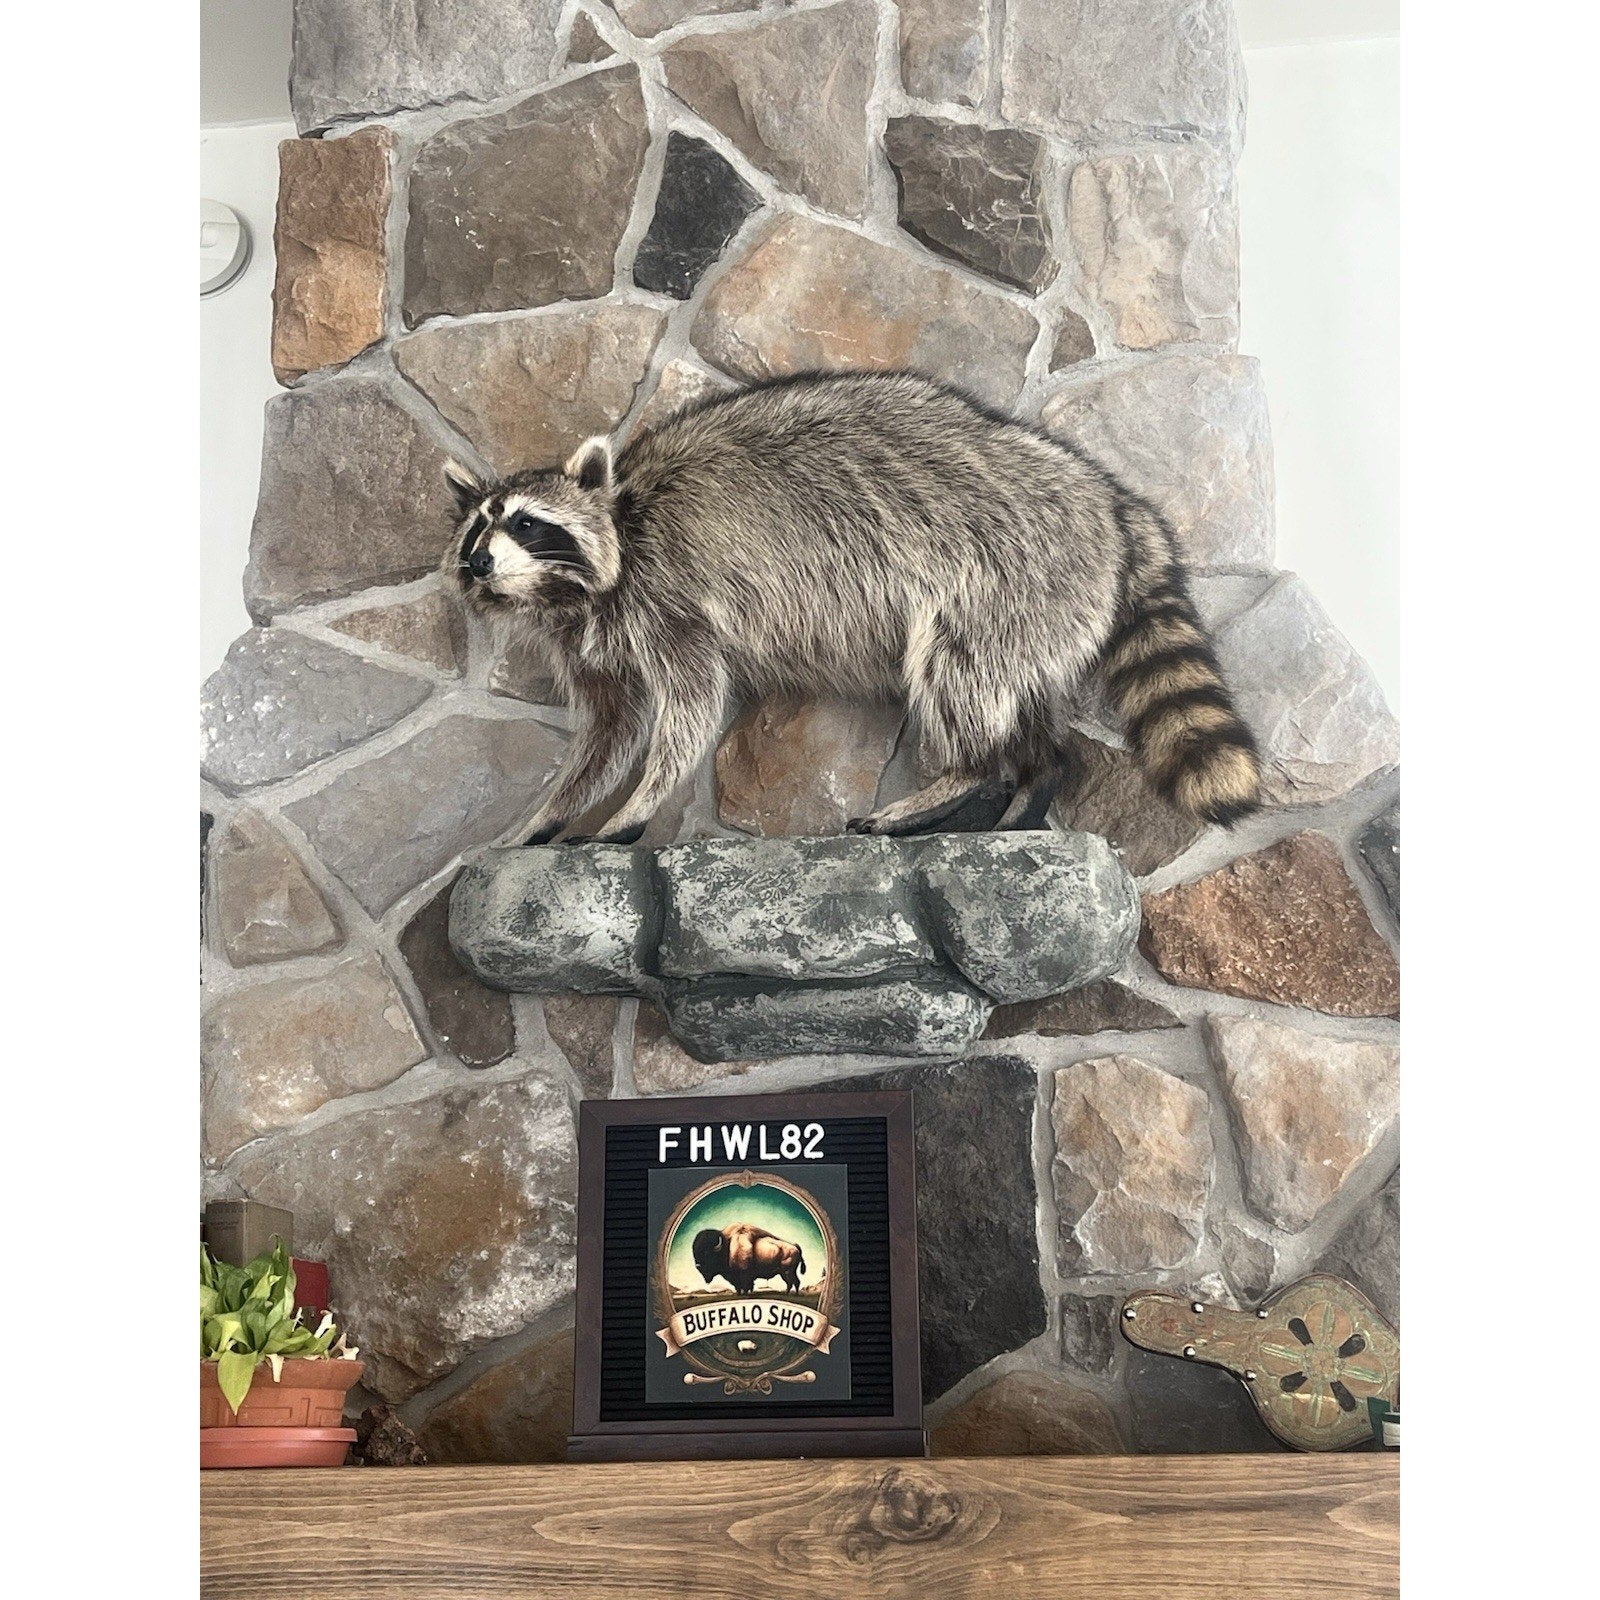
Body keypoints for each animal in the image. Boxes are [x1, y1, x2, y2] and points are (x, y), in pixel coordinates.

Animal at [444, 370, 1262, 845]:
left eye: (526, 523)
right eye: (476, 529)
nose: (480, 563)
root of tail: (1112, 500)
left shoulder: (667, 600)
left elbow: (689, 707)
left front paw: (637, 804)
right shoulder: (589, 638)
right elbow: (609, 731)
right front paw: (552, 810)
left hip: (1008, 573)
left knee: (958, 674)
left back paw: (965, 776)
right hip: (1043, 608)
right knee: (1020, 700)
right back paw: (1033, 783)